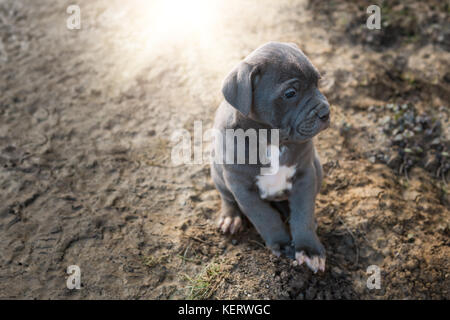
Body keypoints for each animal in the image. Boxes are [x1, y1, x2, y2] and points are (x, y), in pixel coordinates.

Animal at [211, 42, 330, 272]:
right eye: (290, 93)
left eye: (318, 82)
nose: (326, 112)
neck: (272, 140)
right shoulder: (242, 188)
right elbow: (265, 217)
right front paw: (282, 245)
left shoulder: (305, 175)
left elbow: (302, 213)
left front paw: (309, 249)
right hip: (218, 173)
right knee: (227, 197)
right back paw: (231, 217)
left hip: (318, 167)